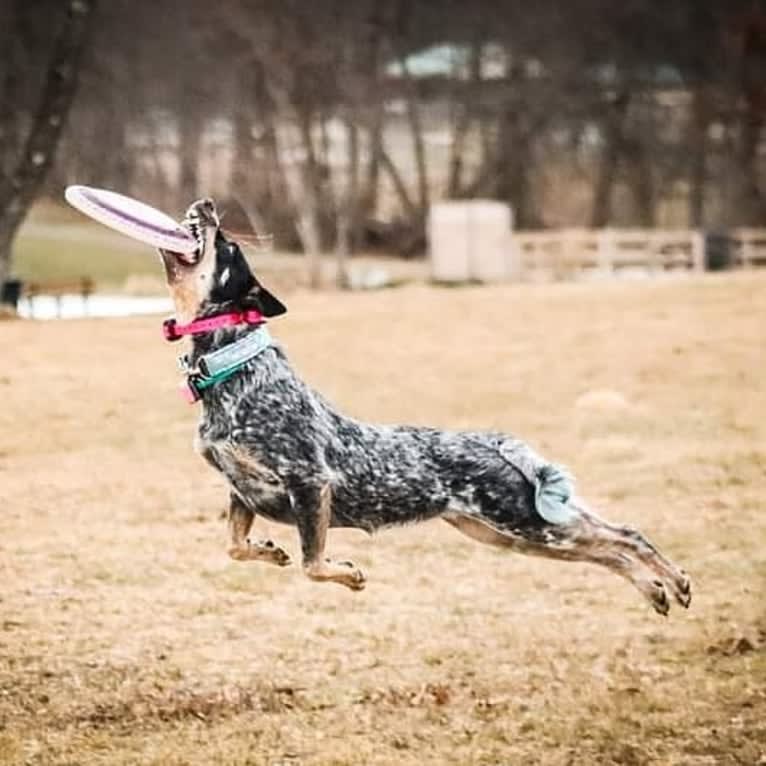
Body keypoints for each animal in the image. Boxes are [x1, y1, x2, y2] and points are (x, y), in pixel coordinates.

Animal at [159, 200, 692, 616]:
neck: (230, 367)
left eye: (228, 246)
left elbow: (313, 564)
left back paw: (671, 581)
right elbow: (236, 546)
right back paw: (657, 589)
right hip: (510, 532)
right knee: (611, 547)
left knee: (624, 537)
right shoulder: (241, 491)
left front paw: (347, 574)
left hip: (526, 521)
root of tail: (497, 443)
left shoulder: (309, 482)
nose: (207, 203)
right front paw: (269, 551)